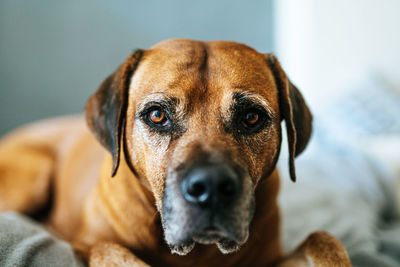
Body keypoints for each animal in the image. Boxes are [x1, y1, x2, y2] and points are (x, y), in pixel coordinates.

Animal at [0, 38, 350, 266]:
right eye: (157, 115)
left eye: (252, 117)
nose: (211, 188)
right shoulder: (89, 243)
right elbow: (112, 252)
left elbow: (324, 239)